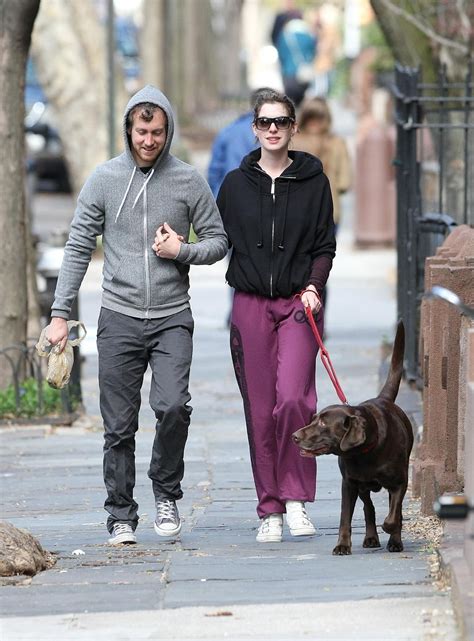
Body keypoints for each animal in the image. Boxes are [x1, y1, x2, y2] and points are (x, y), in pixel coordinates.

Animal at [290, 322, 412, 552]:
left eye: (323, 423)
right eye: (314, 418)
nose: (294, 435)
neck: (365, 452)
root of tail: (383, 398)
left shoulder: (400, 482)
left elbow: (394, 515)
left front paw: (392, 532)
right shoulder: (348, 484)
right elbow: (345, 518)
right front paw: (342, 545)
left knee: (390, 510)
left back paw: (393, 541)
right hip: (361, 486)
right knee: (368, 508)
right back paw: (371, 537)